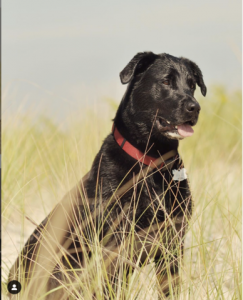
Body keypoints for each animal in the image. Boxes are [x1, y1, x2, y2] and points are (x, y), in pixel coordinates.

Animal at [9, 51, 205, 298]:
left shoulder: (172, 245)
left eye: (192, 85)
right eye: (166, 81)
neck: (151, 163)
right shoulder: (114, 246)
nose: (194, 107)